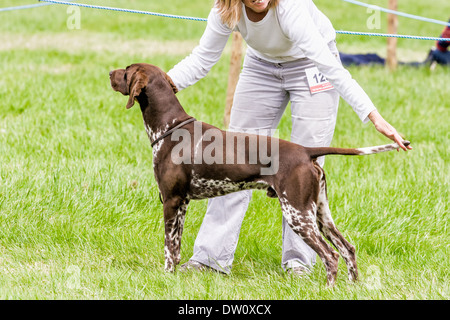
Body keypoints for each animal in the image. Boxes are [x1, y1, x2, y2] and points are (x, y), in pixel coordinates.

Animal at [110, 62, 412, 284]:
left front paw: (166, 278)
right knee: (347, 249)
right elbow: (176, 247)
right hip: (320, 213)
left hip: (297, 214)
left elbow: (169, 249)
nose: (109, 73)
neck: (170, 128)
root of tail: (306, 151)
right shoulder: (181, 204)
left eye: (126, 70)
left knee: (331, 255)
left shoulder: (172, 201)